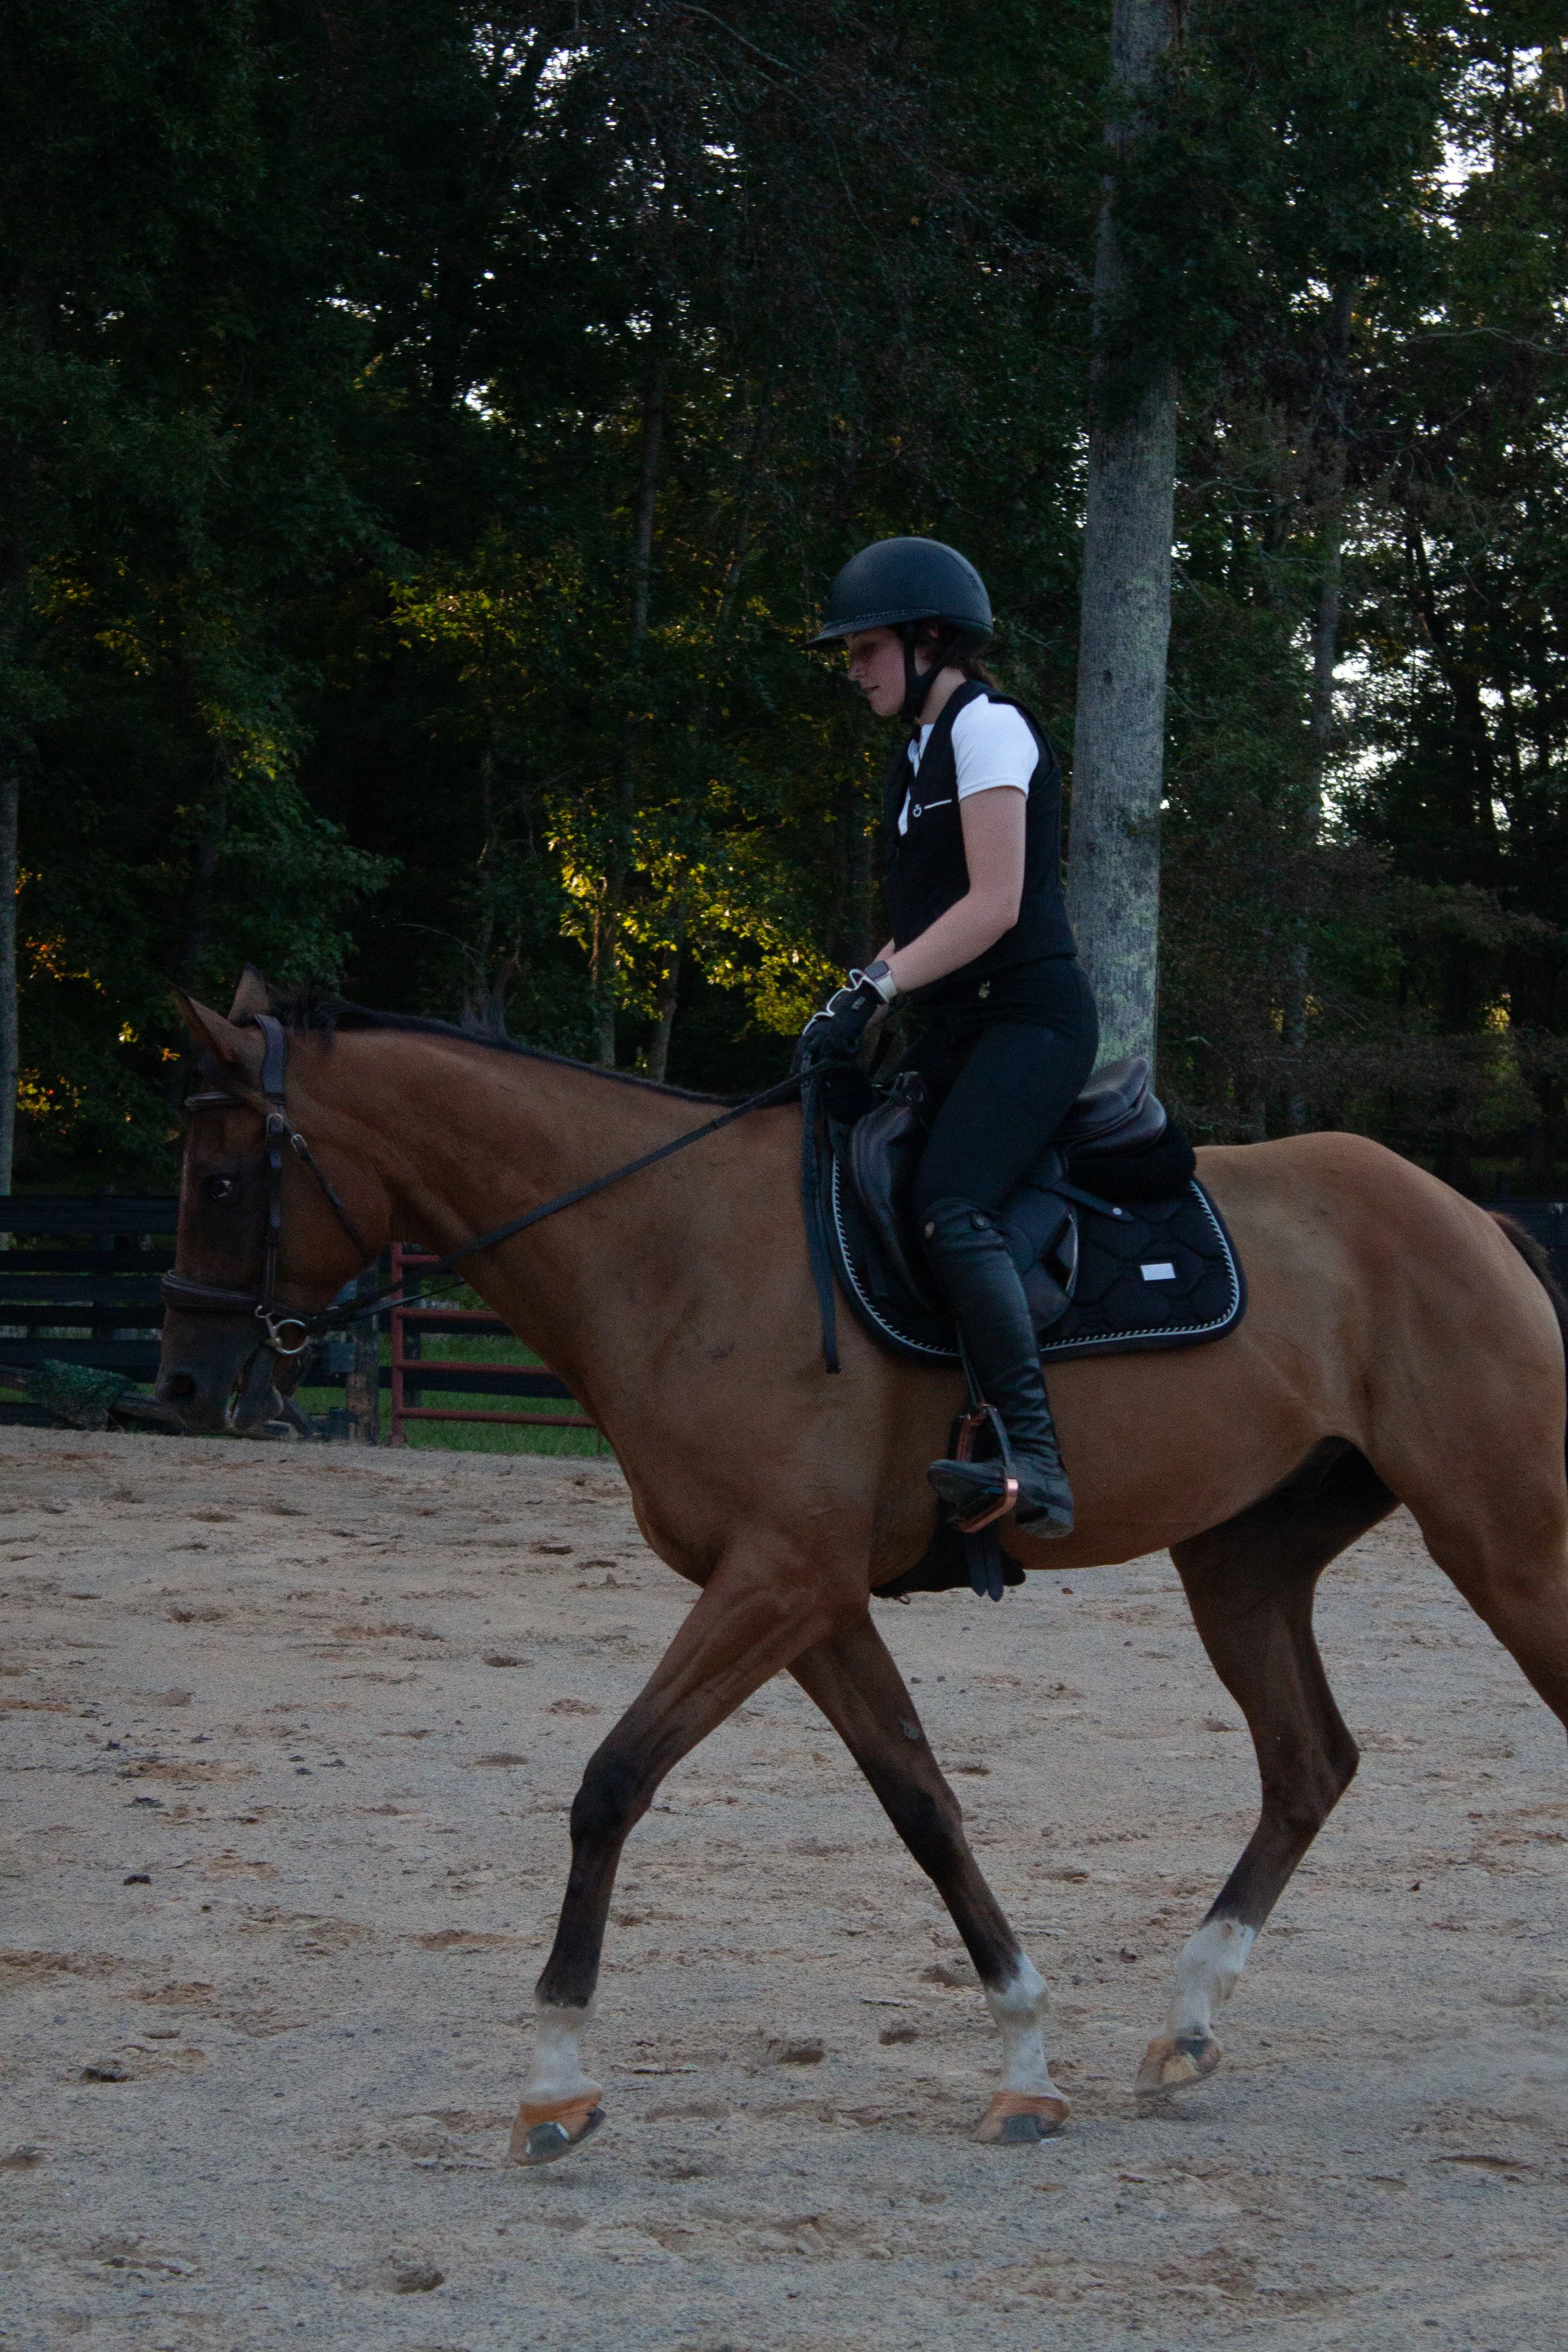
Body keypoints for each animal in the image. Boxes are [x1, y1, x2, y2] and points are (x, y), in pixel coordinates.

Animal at [155, 970, 1568, 2162]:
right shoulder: (812, 1600)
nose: (182, 1386)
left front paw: (555, 2079)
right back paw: (1186, 2022)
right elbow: (923, 1807)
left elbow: (611, 1784)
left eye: (223, 1182)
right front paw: (1023, 2062)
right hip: (1239, 1565)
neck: (668, 1245)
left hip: (1506, 1543)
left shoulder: (777, 1581)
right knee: (1306, 1763)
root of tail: (1473, 1217)